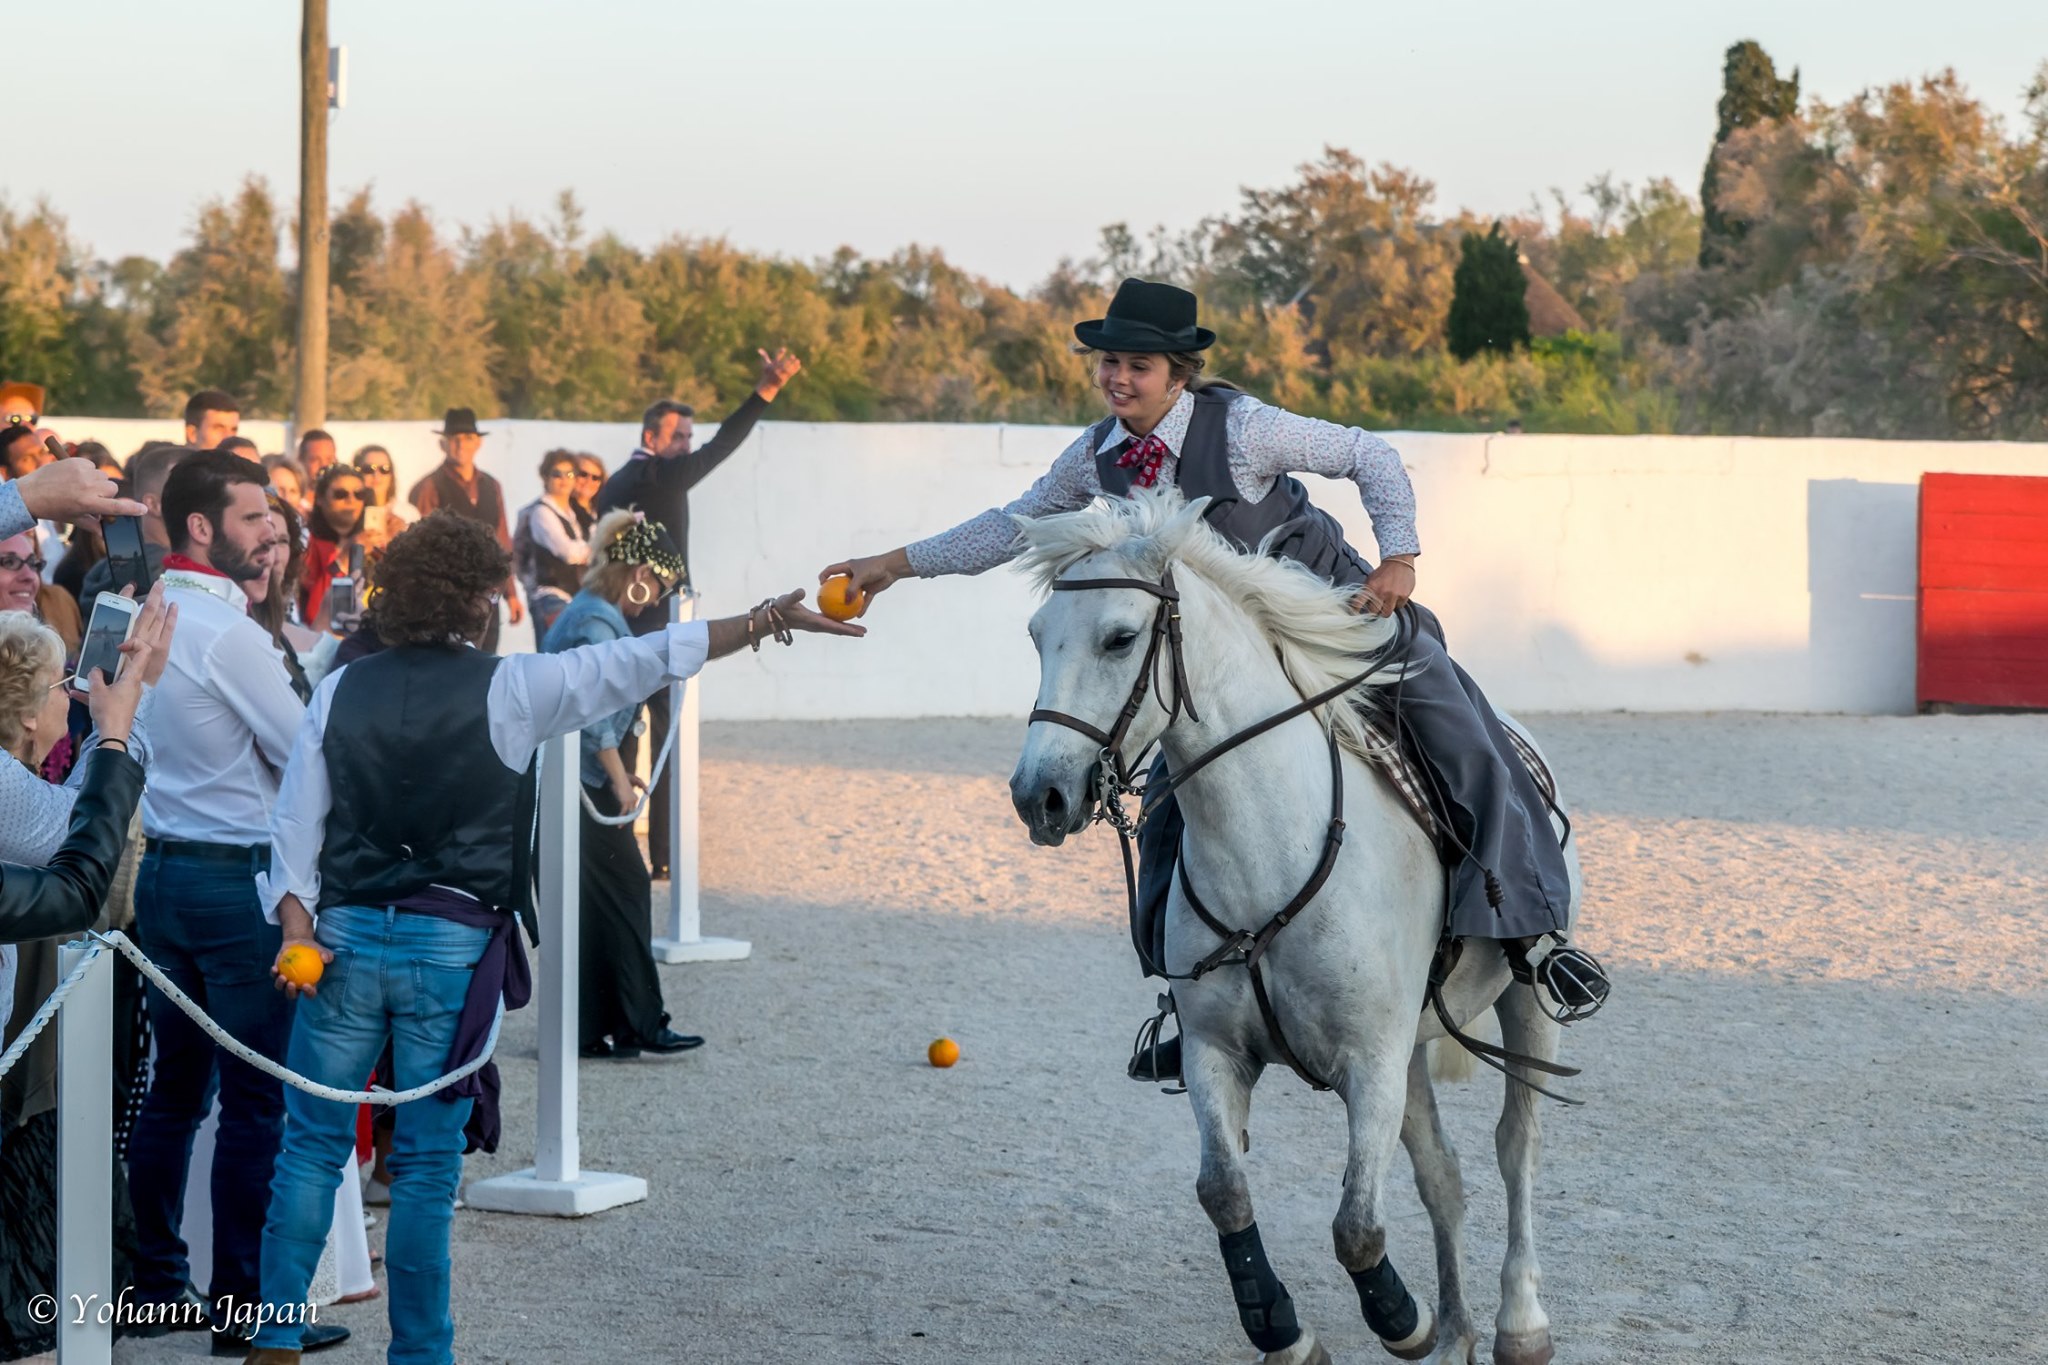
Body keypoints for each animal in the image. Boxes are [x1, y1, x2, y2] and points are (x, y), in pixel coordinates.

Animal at [1011, 489, 1581, 1365]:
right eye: (1039, 636)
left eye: (1120, 637)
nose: (1038, 795)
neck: (1268, 851)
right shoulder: (1217, 1052)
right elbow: (1224, 1191)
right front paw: (1285, 1329)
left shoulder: (1370, 1062)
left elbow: (1356, 1226)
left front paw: (1399, 1318)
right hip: (1414, 1048)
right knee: (1442, 1172)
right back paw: (1456, 1330)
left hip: (1526, 1002)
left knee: (1516, 1145)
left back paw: (1518, 1324)